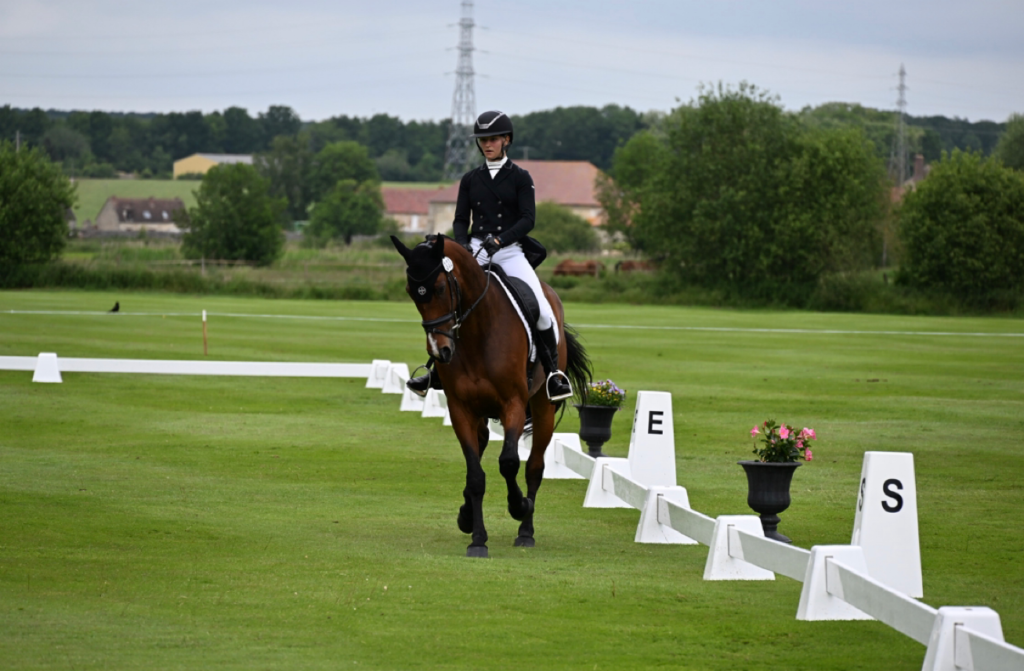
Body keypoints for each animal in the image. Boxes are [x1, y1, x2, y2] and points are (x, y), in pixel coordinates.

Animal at [389, 233, 593, 557]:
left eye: (440, 288)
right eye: (412, 292)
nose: (440, 351)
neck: (477, 332)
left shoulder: (513, 404)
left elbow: (509, 462)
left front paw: (519, 506)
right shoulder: (461, 409)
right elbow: (475, 474)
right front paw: (476, 537)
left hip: (542, 407)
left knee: (534, 466)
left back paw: (526, 531)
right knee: (483, 444)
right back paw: (468, 515)